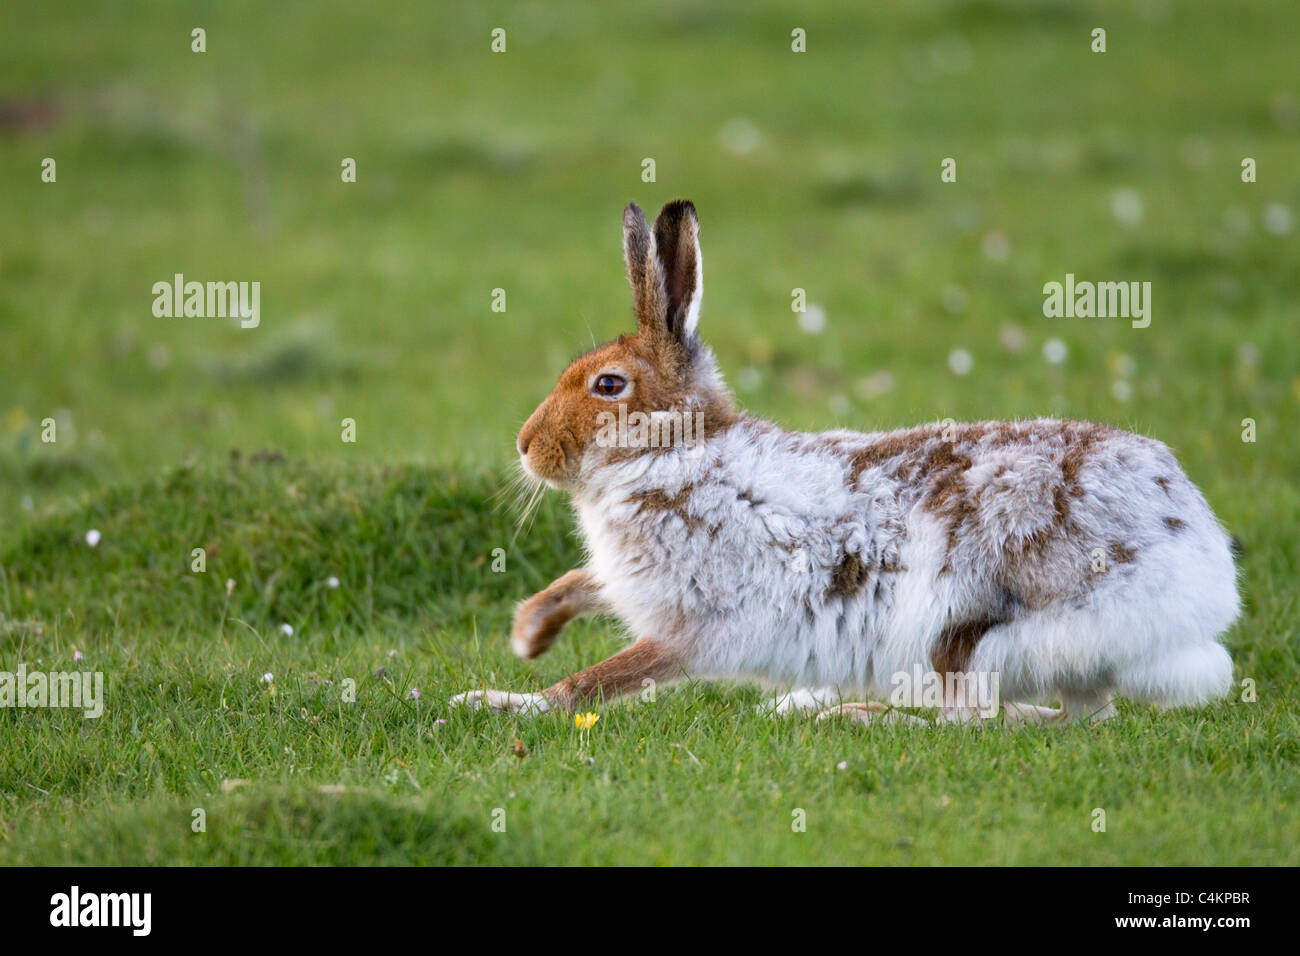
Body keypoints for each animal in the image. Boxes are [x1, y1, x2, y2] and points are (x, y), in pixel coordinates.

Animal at [451, 199, 1240, 725]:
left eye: (608, 386)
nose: (525, 444)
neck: (674, 451)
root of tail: (1201, 572)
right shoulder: (629, 585)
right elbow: (576, 586)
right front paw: (527, 635)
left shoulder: (695, 625)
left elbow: (600, 680)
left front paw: (503, 700)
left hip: (972, 636)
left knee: (979, 720)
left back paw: (843, 714)